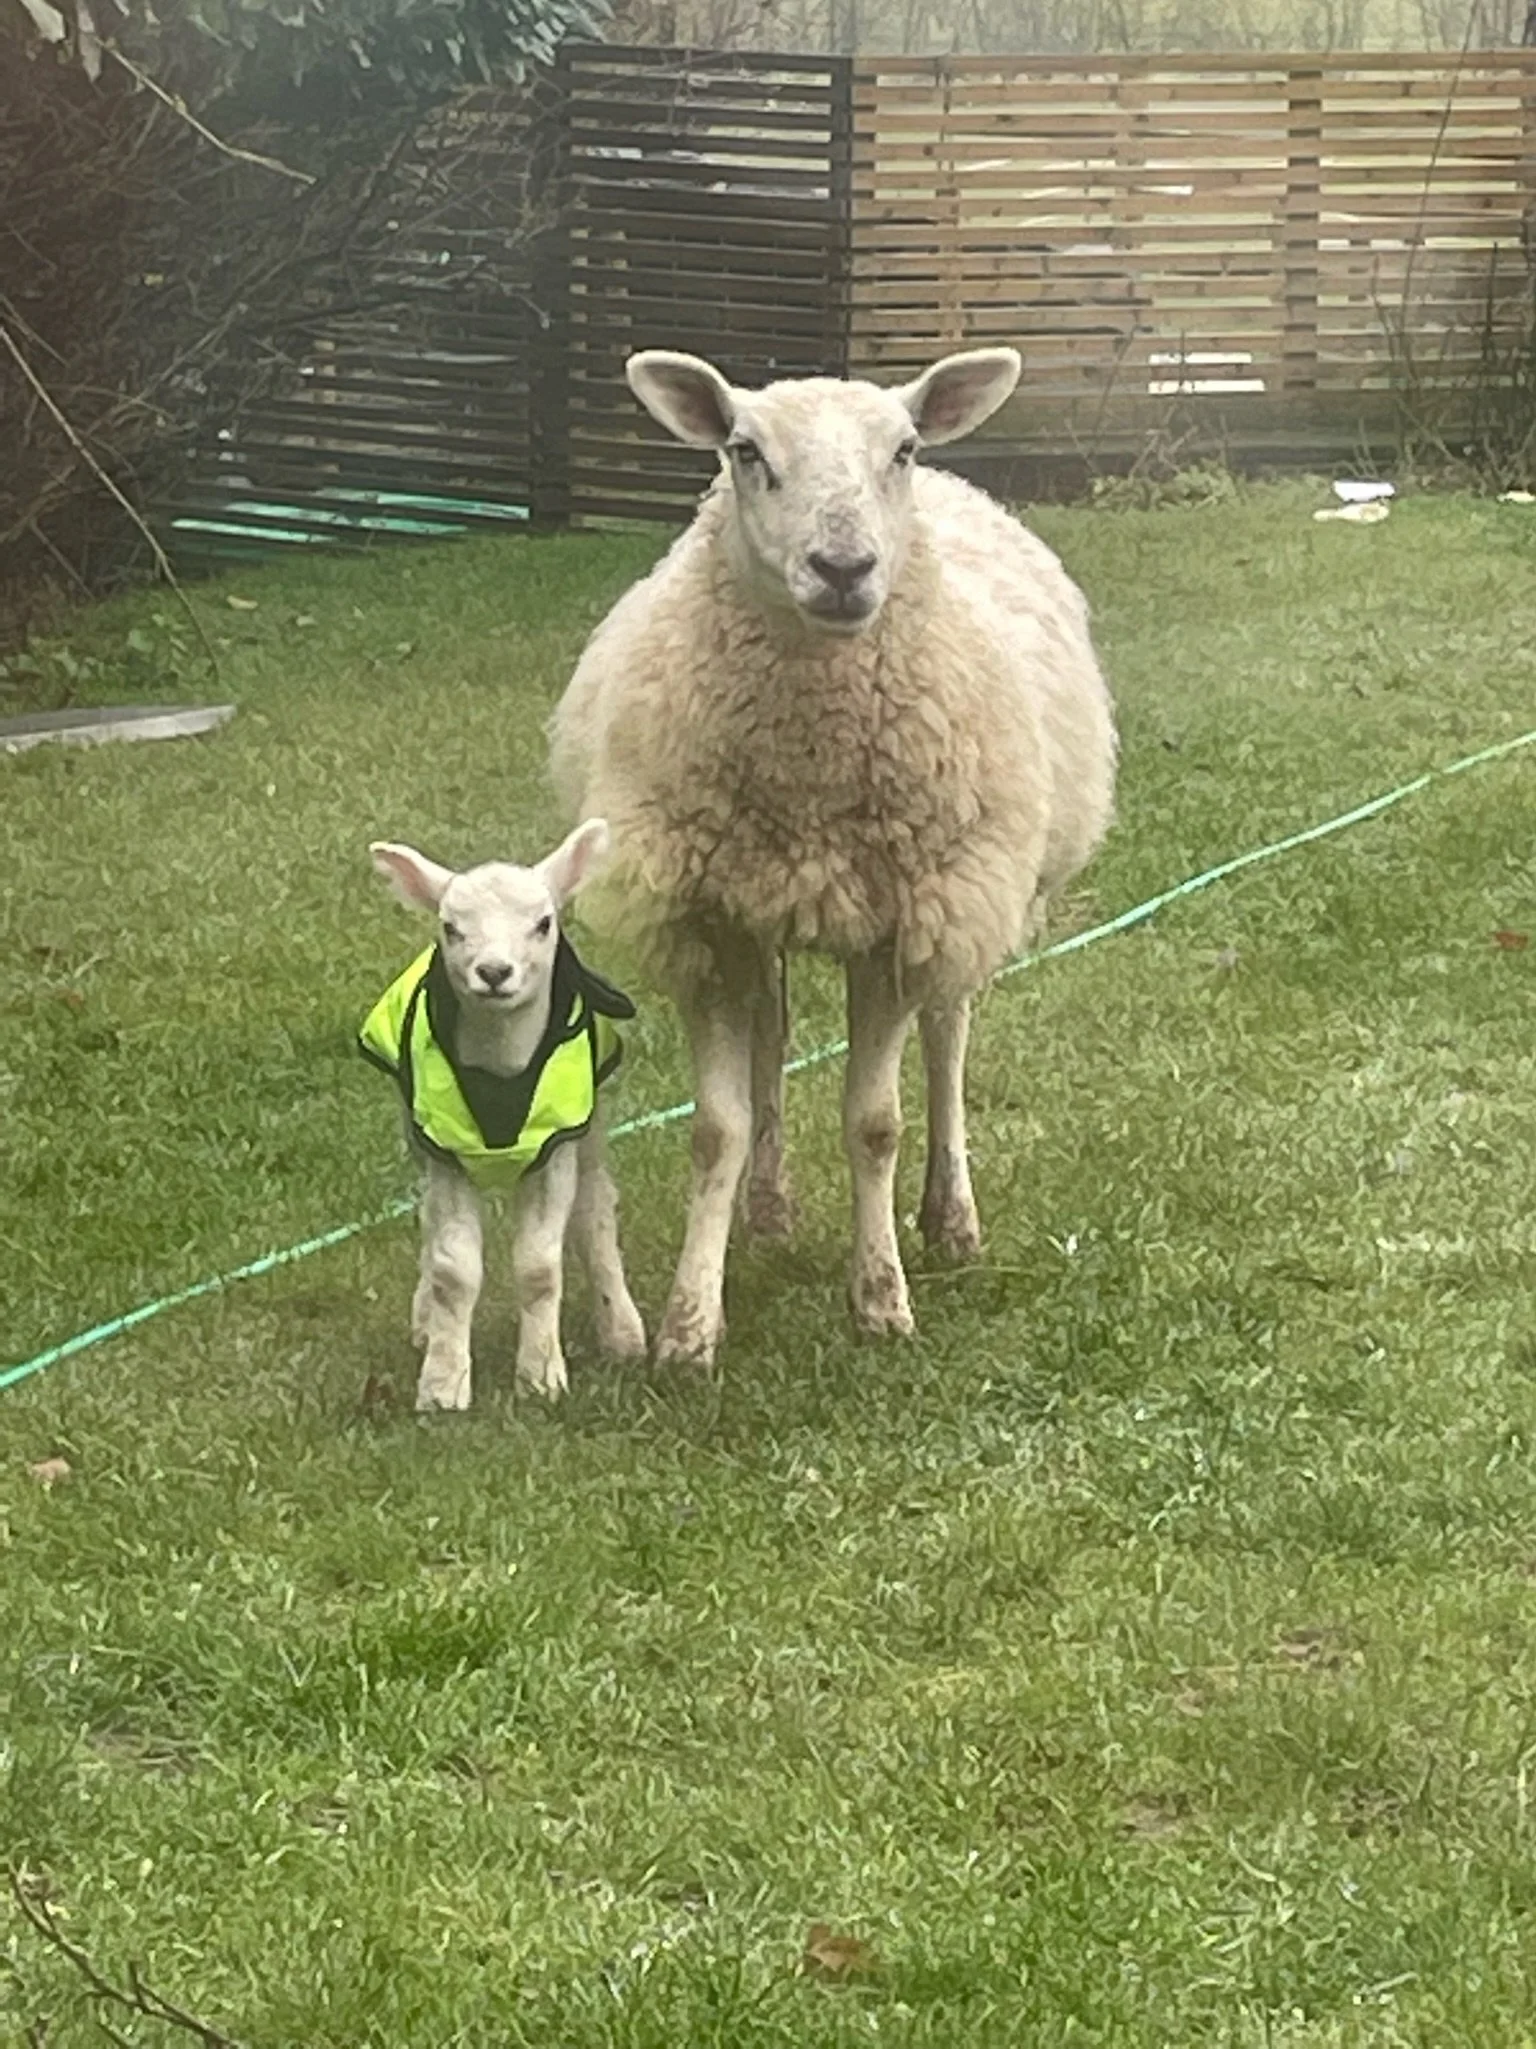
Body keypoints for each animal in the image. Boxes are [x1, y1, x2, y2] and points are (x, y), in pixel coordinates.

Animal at [362, 821, 646, 1409]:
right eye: (450, 927)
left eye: (543, 923)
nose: (493, 972)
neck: (501, 1067)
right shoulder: (443, 1148)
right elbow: (452, 1270)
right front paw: (443, 1384)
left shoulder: (554, 1147)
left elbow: (539, 1267)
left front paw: (540, 1378)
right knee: (427, 1218)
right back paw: (425, 1321)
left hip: (589, 1129)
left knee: (594, 1213)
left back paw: (622, 1330)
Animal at [549, 347, 1117, 1370]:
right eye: (743, 450)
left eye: (902, 448)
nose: (844, 569)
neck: (809, 770)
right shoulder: (708, 921)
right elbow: (717, 1129)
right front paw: (690, 1325)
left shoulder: (894, 921)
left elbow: (874, 1123)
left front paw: (881, 1300)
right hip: (767, 907)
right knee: (773, 1038)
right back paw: (768, 1209)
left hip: (962, 895)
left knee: (947, 1035)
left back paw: (949, 1216)